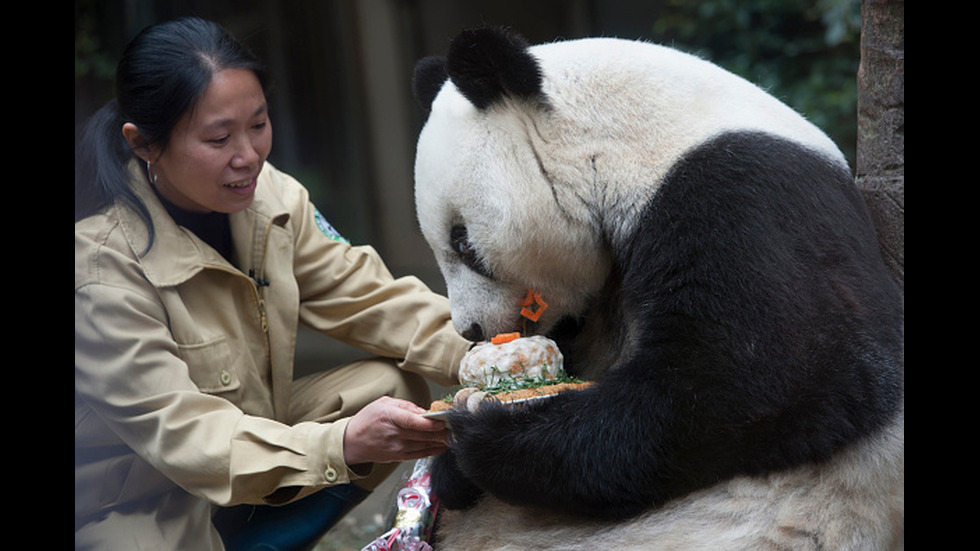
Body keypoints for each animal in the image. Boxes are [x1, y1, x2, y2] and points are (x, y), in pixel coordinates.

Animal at [408, 28, 904, 548]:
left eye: (462, 242)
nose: (471, 330)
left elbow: (772, 373)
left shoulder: (745, 197)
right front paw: (450, 466)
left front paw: (488, 439)